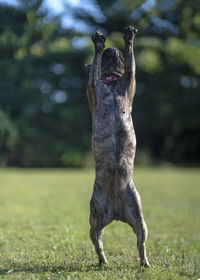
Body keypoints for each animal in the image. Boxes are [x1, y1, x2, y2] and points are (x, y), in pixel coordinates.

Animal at [86, 25, 149, 266]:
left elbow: (131, 62)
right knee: (97, 240)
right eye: (106, 55)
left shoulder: (130, 78)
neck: (112, 80)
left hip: (138, 215)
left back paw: (144, 262)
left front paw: (128, 38)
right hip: (96, 216)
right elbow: (93, 68)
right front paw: (98, 44)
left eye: (119, 55)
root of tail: (116, 212)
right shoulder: (94, 84)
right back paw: (103, 260)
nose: (112, 48)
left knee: (141, 241)